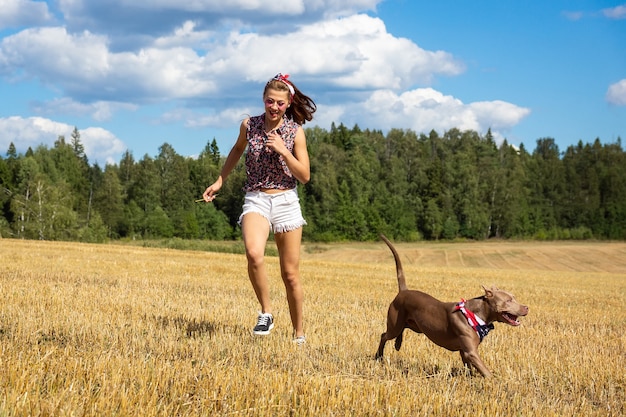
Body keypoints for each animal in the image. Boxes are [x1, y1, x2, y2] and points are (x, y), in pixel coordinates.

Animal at [376, 234, 528, 376]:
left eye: (514, 298)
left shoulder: (464, 352)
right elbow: (486, 372)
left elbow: (470, 369)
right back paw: (379, 356)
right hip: (395, 324)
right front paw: (496, 380)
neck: (476, 313)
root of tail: (403, 291)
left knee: (402, 329)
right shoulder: (471, 352)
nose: (526, 307)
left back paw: (398, 344)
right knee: (384, 335)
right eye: (508, 300)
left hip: (412, 324)